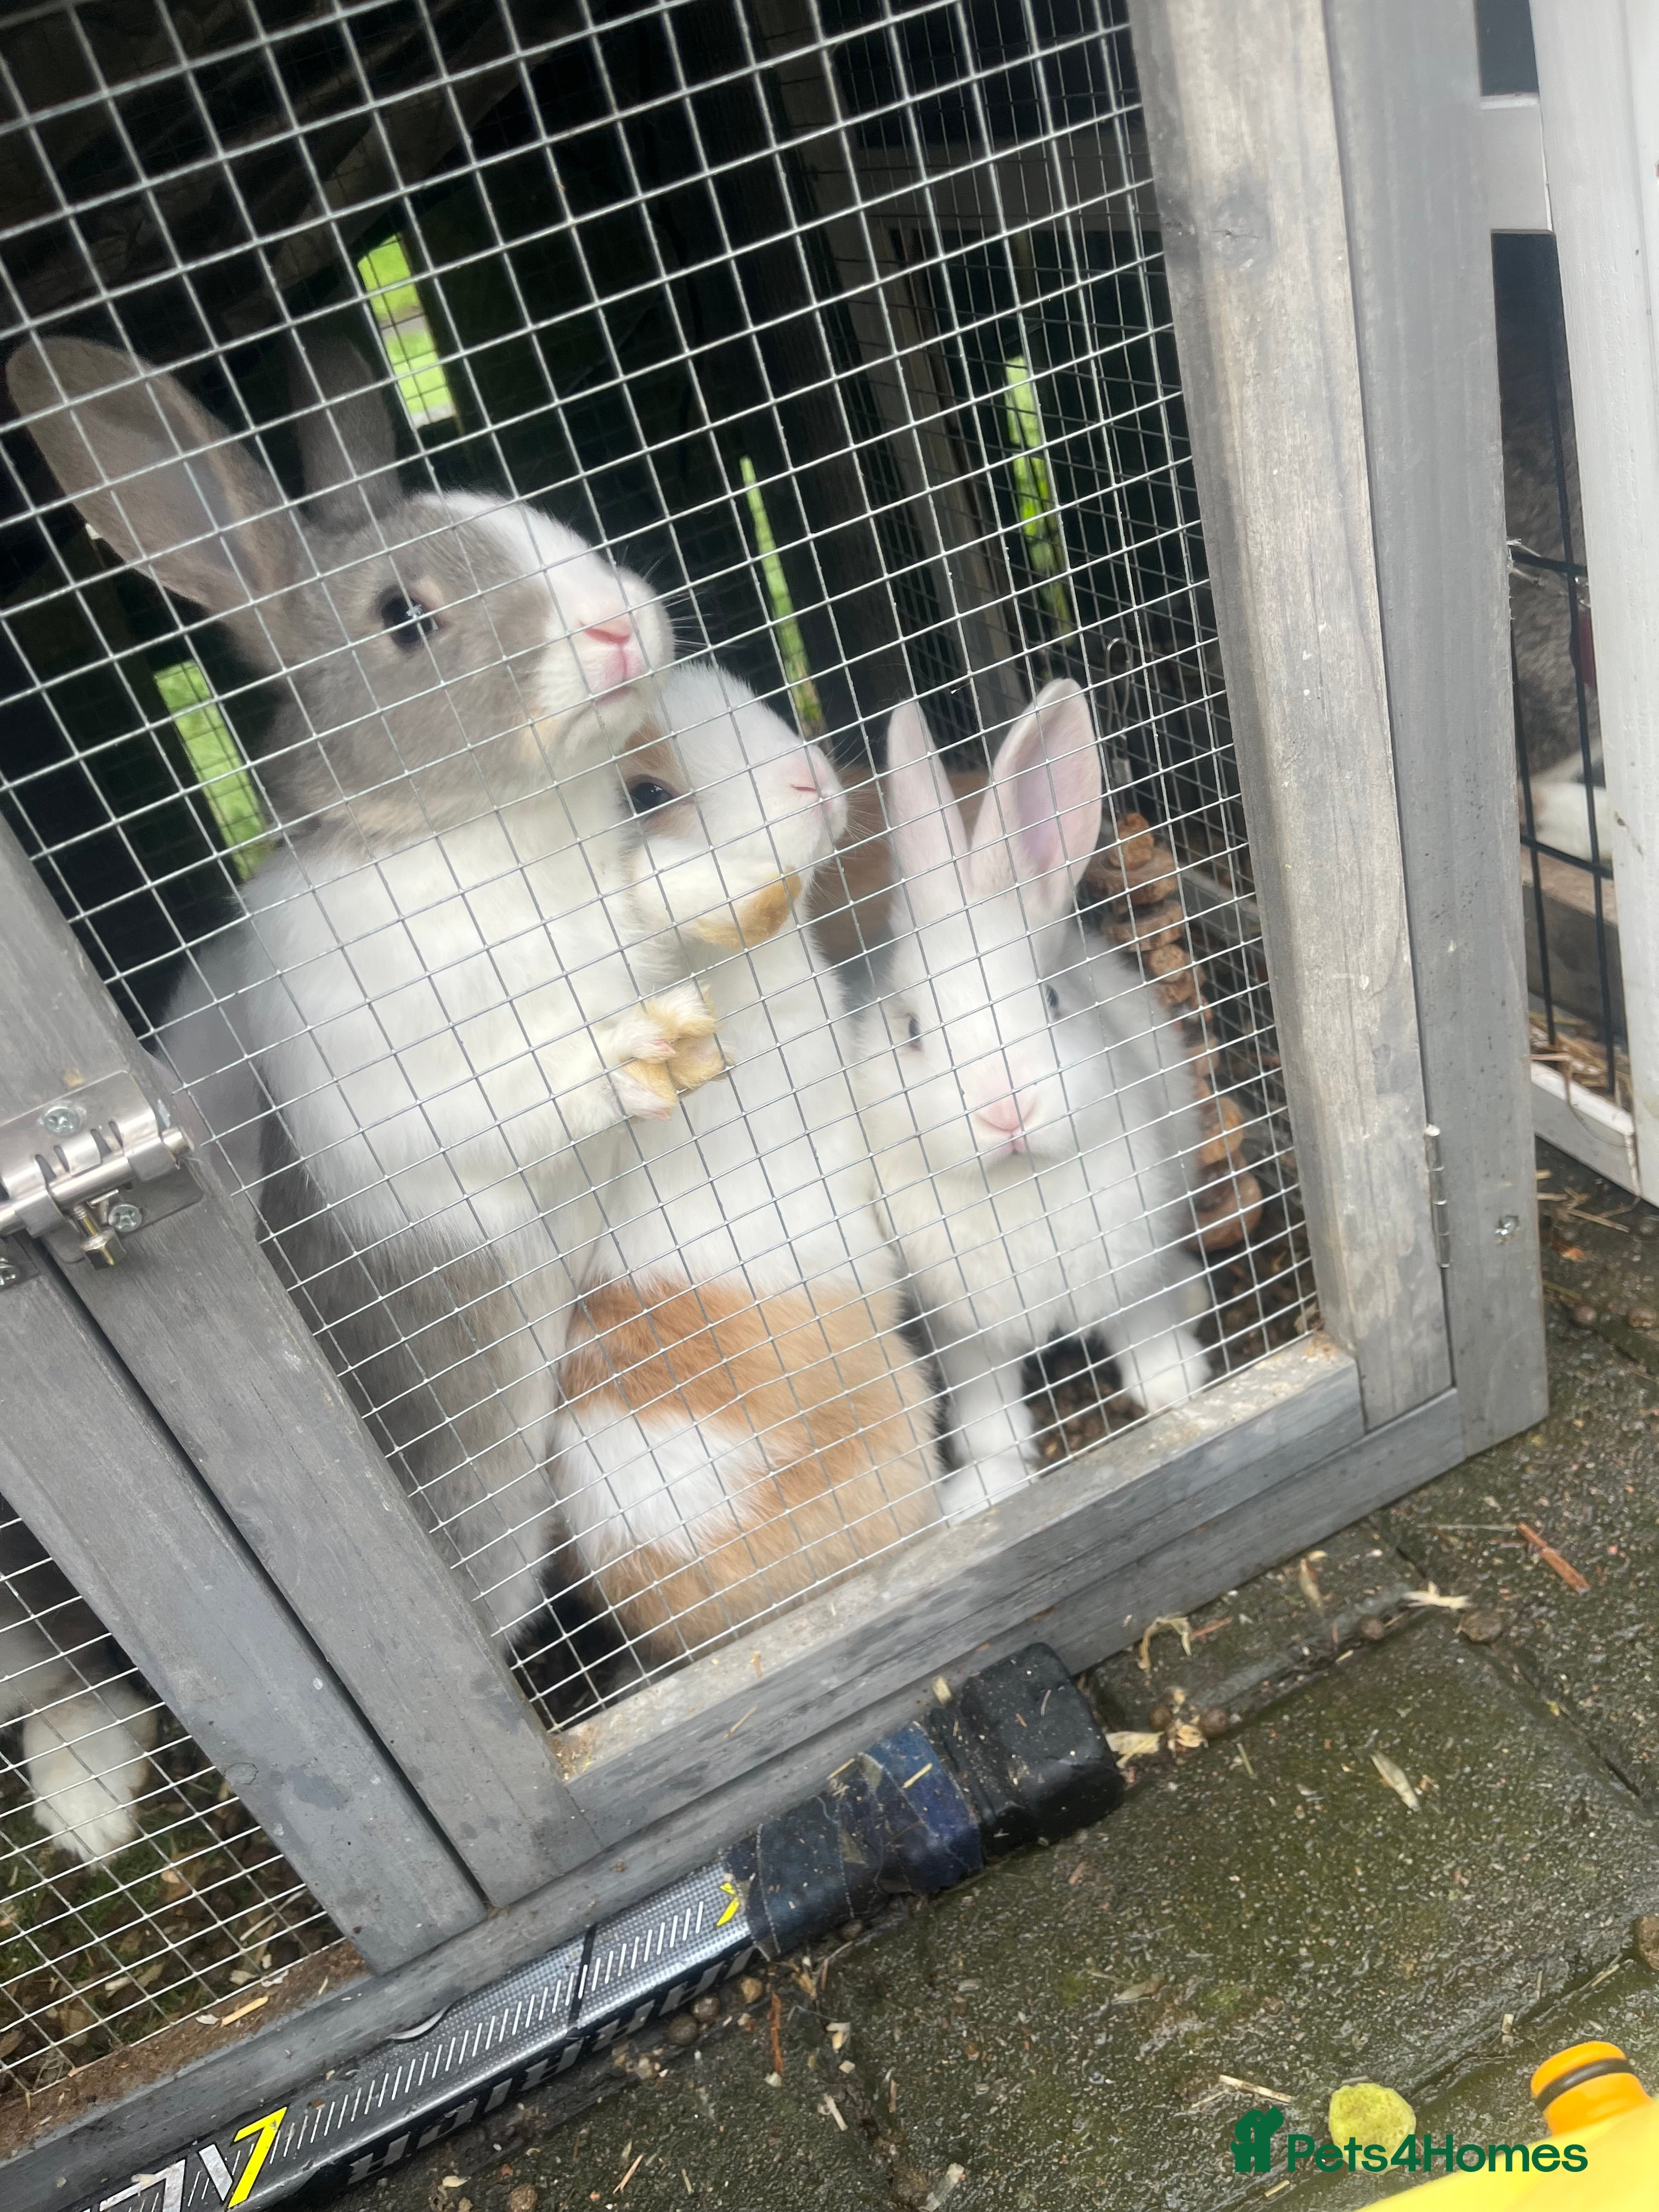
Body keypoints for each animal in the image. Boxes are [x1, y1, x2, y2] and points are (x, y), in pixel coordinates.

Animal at [6, 335, 724, 1653]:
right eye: (403, 617)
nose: (614, 628)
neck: (493, 822)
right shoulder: (388, 1087)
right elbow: (499, 1100)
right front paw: (623, 1057)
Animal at [850, 678, 1212, 1520]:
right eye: (912, 1031)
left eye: (1051, 1001)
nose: (1007, 1111)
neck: (1016, 1185)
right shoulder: (964, 1328)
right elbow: (983, 1388)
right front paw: (994, 1459)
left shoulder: (1128, 1267)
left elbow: (1143, 1326)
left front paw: (1175, 1387)